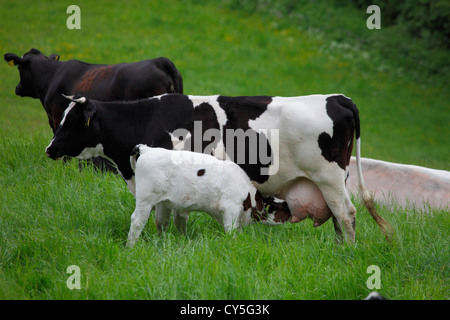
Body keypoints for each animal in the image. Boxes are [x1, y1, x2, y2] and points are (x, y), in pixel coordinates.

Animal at [44, 92, 390, 242]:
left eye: (72, 122)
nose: (50, 148)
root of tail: (338, 97)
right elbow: (171, 218)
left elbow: (168, 217)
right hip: (332, 182)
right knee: (338, 217)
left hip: (328, 178)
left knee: (346, 215)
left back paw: (348, 253)